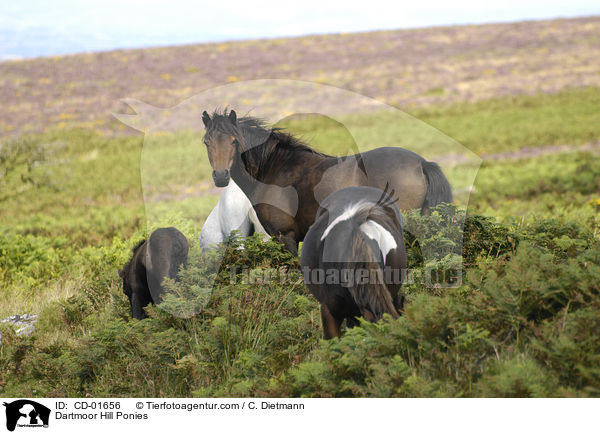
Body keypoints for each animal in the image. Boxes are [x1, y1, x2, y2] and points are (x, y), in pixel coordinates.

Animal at [202, 107, 450, 254]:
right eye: (206, 141)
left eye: (234, 140)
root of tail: (421, 163)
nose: (221, 176)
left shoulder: (286, 238)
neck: (274, 169)